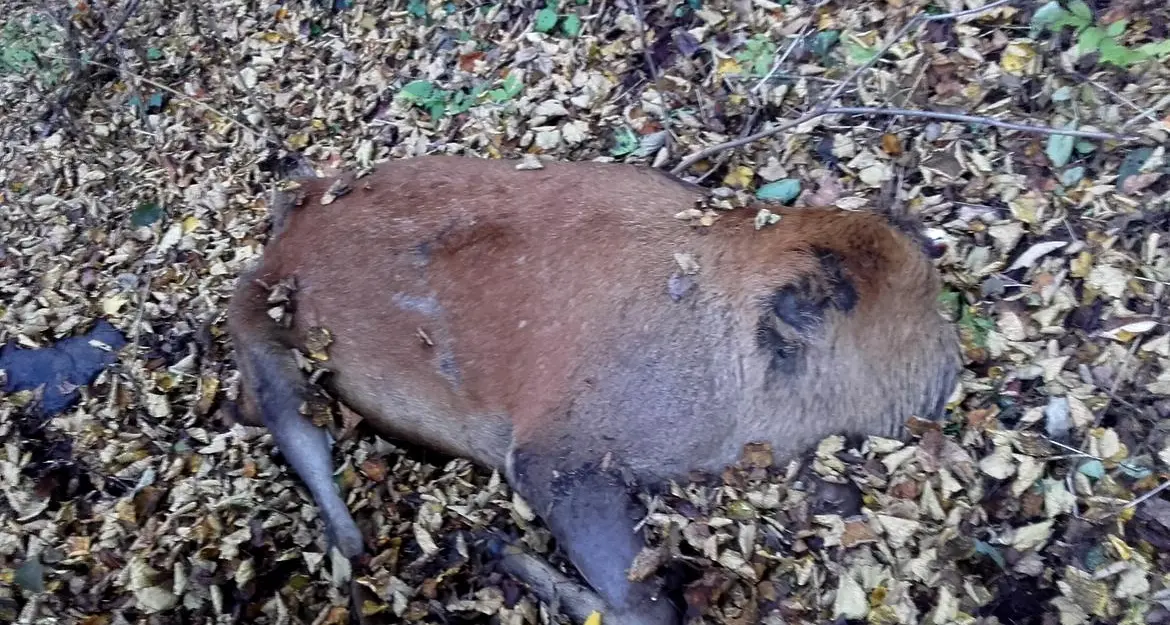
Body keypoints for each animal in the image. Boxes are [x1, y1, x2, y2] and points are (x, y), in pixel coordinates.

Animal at [225, 154, 962, 625]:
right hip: (260, 332)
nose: (946, 376)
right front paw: (500, 548)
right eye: (879, 328)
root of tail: (284, 240)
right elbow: (648, 606)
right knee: (302, 440)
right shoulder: (557, 460)